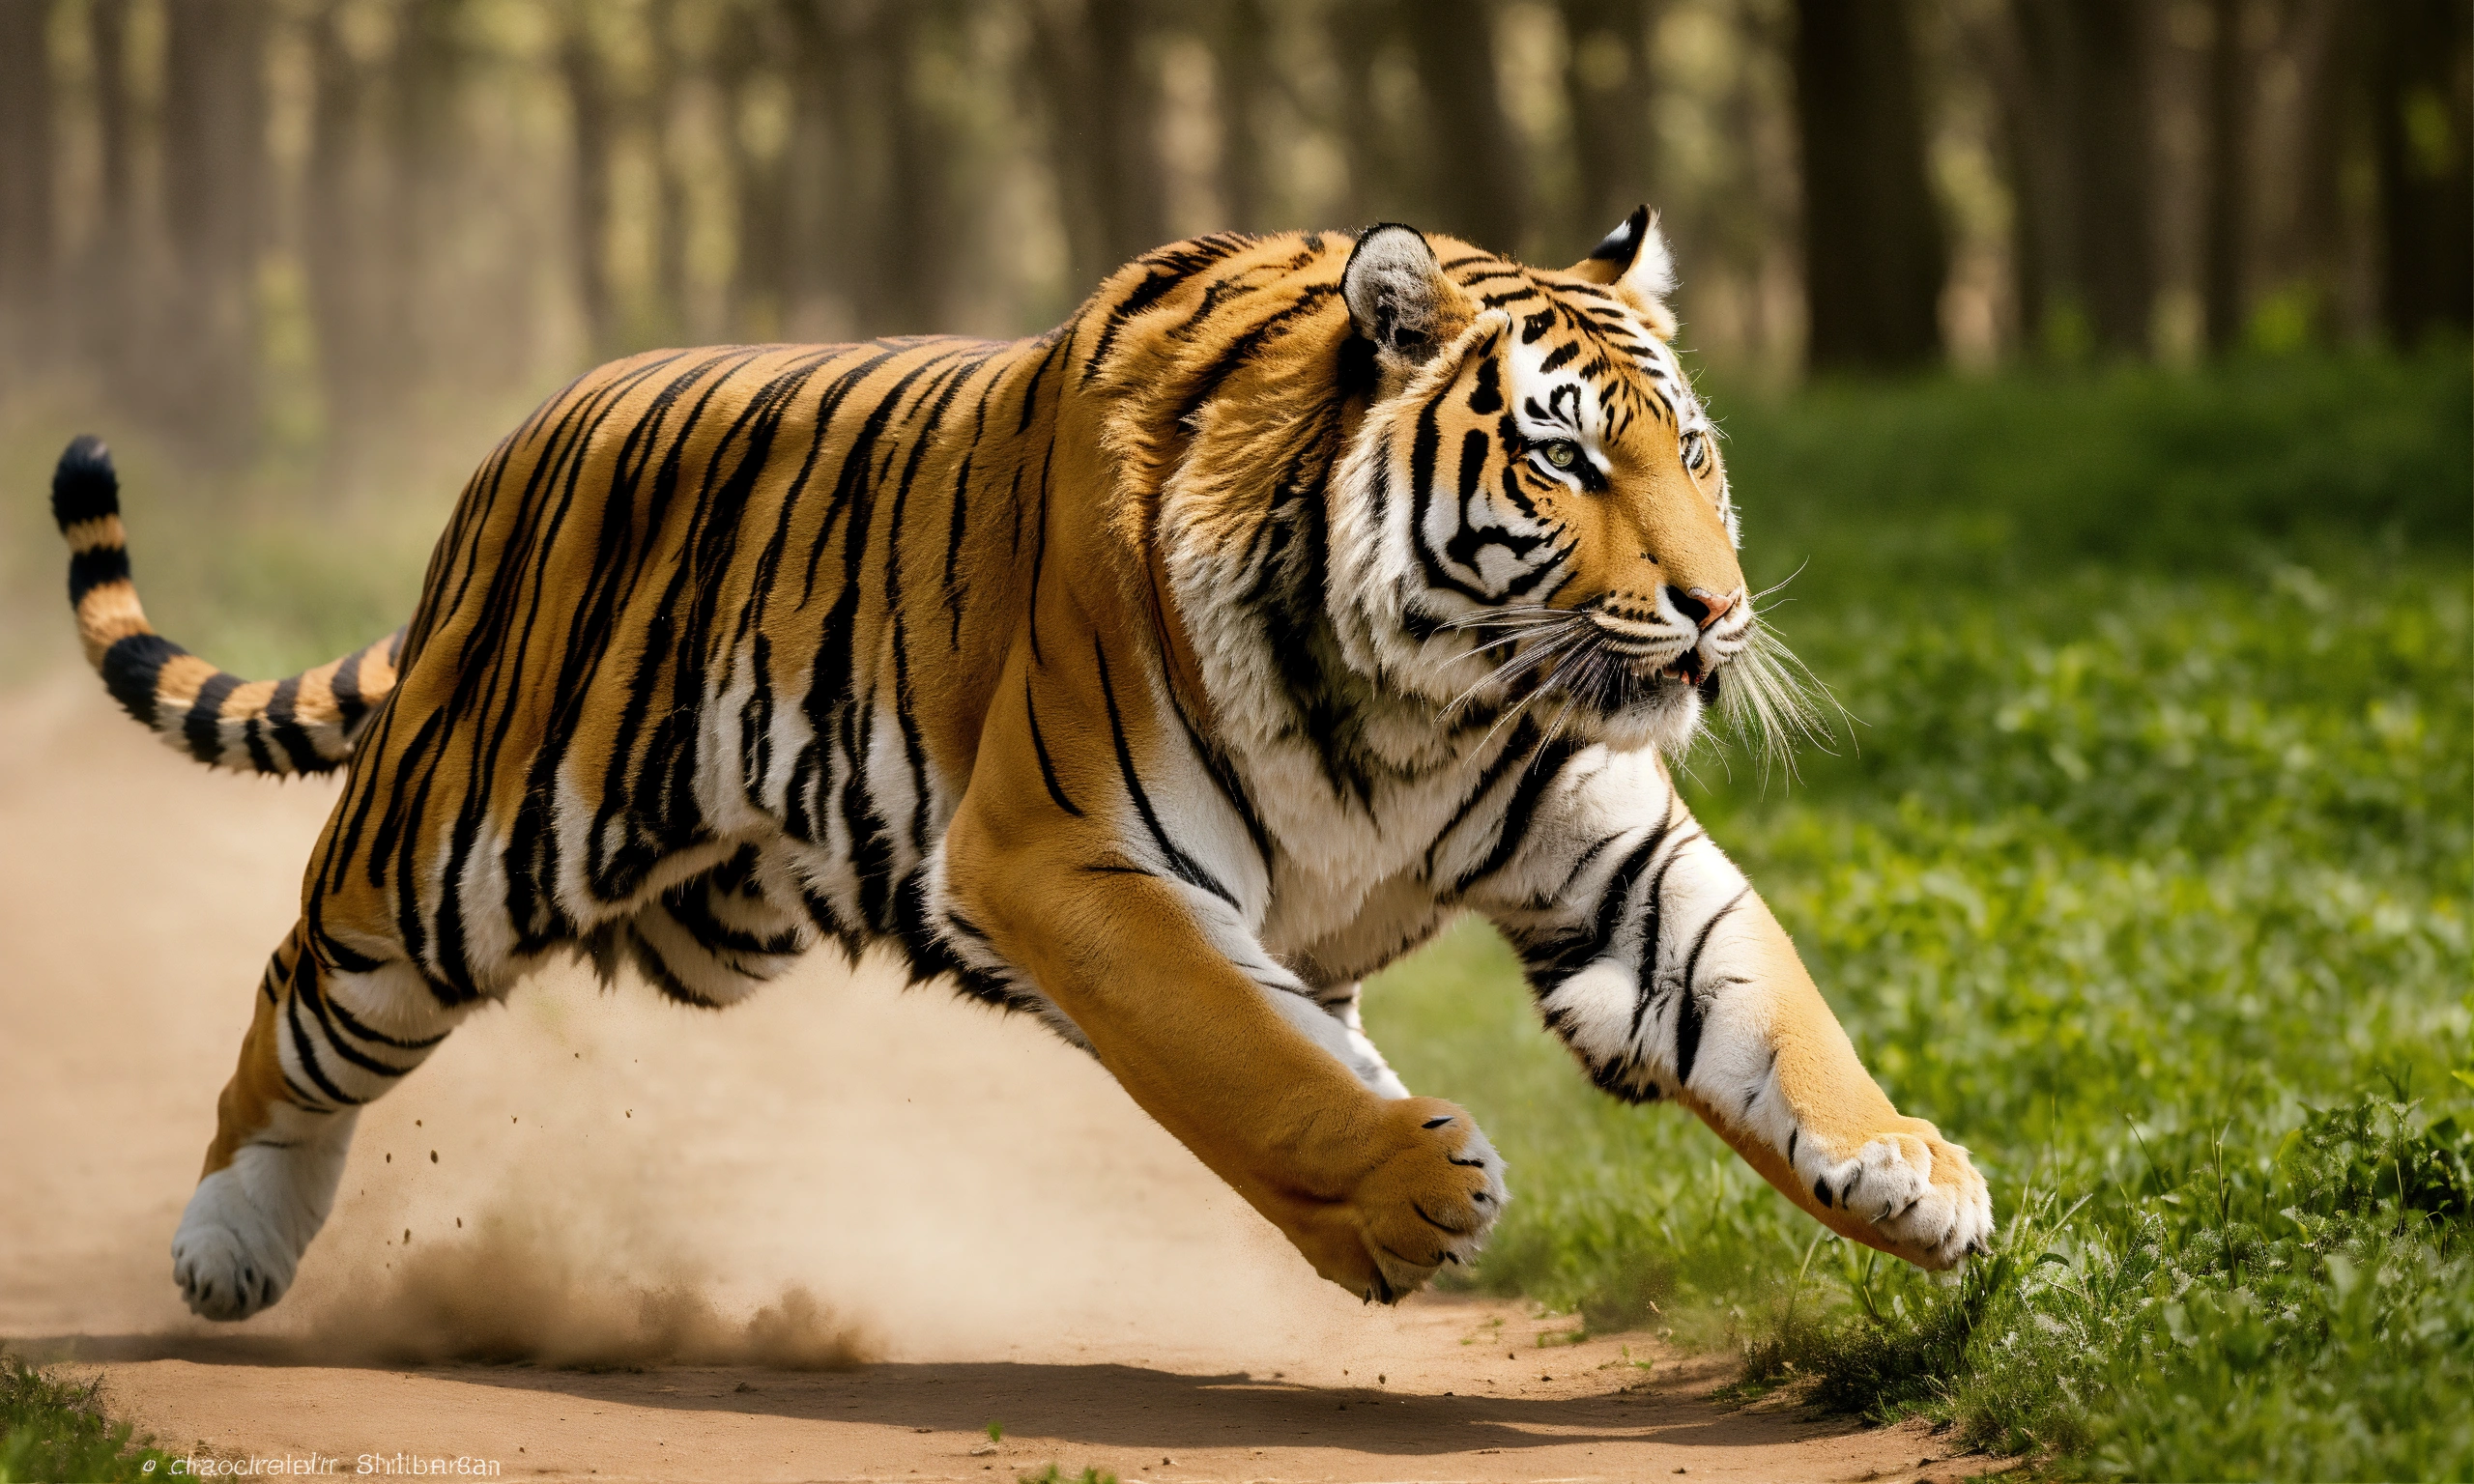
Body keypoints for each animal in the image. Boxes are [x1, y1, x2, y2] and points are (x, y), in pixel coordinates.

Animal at [50, 209, 1992, 1322]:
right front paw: (1407, 1197)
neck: (1421, 694)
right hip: (459, 851)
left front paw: (1911, 1172)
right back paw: (227, 1249)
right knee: (302, 999)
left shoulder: (1604, 844)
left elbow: (1764, 999)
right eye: (1567, 461)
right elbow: (1235, 1066)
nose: (1717, 612)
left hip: (711, 919)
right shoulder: (1061, 860)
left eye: (1693, 455)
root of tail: (519, 443)